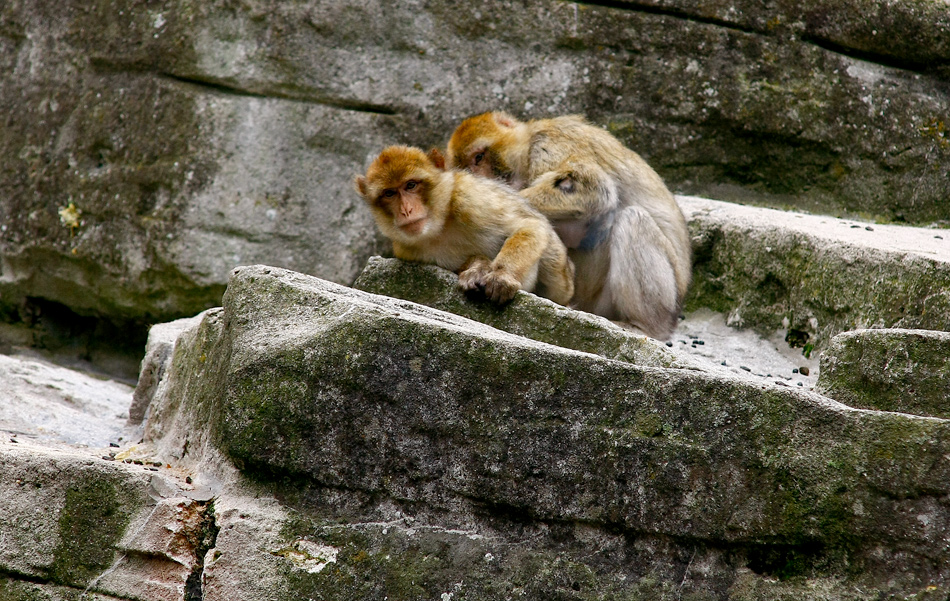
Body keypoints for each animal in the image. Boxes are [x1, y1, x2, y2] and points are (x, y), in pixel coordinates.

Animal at [356, 144, 572, 304]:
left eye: (411, 185)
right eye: (389, 193)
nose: (406, 210)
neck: (441, 225)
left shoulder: (469, 198)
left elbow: (530, 224)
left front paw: (501, 275)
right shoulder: (408, 250)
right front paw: (477, 267)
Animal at [446, 110, 692, 340]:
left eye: (479, 157)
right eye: (466, 165)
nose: (479, 177)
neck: (528, 145)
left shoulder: (549, 145)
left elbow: (594, 190)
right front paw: (477, 268)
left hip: (665, 301)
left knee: (632, 219)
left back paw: (645, 326)